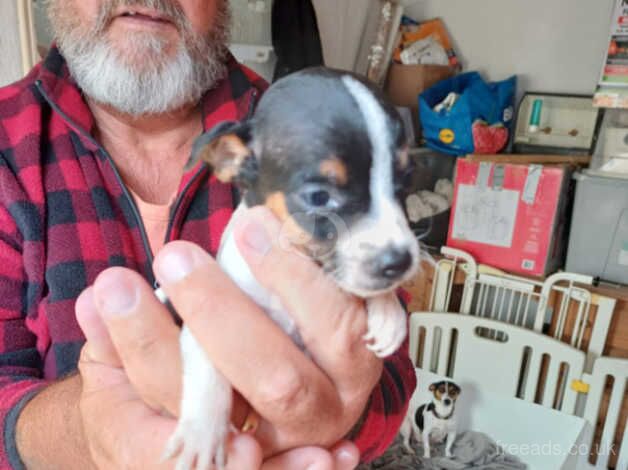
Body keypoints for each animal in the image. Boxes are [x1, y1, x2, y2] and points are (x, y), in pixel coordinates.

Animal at [159, 67, 420, 470]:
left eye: (406, 181)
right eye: (319, 197)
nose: (399, 261)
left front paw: (388, 312)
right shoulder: (206, 322)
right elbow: (208, 371)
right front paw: (201, 435)